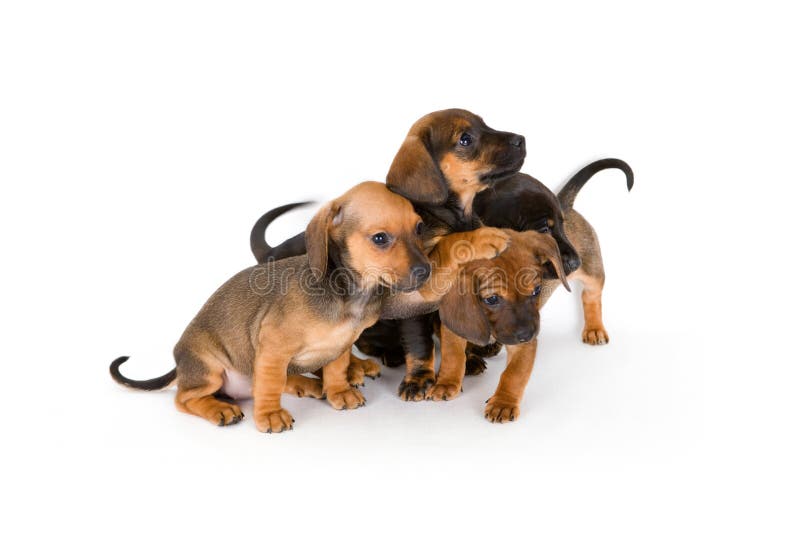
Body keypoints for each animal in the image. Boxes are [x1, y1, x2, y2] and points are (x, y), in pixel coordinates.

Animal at [109, 182, 510, 434]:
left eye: (418, 228)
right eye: (380, 238)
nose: (423, 270)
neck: (351, 295)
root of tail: (179, 360)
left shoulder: (395, 300)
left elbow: (334, 367)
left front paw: (337, 391)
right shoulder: (272, 345)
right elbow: (270, 383)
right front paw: (269, 415)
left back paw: (313, 384)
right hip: (208, 369)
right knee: (186, 398)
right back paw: (220, 407)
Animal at [248, 110, 524, 402]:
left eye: (485, 124)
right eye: (465, 139)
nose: (522, 140)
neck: (450, 216)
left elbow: (454, 334)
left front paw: (466, 358)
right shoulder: (414, 295)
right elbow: (420, 344)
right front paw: (419, 379)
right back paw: (369, 362)